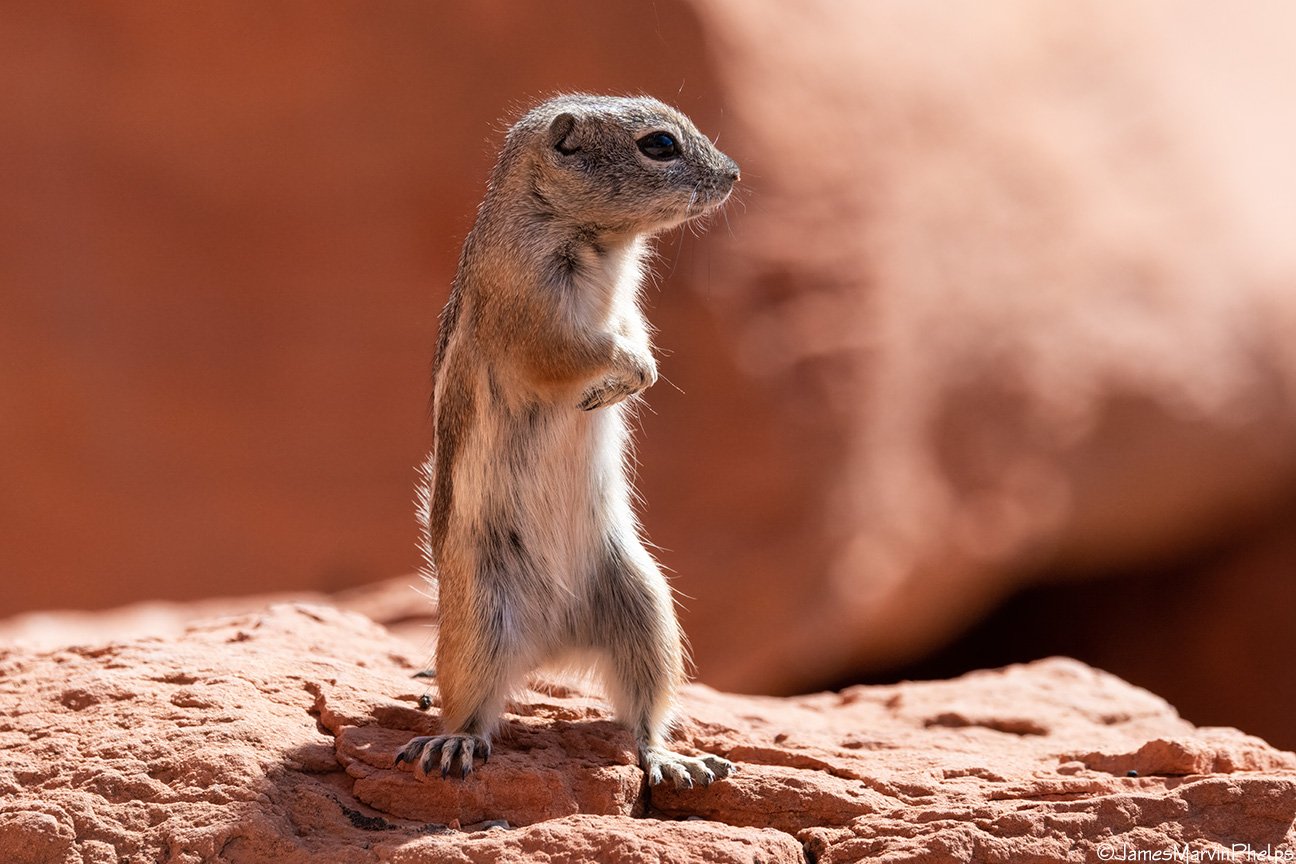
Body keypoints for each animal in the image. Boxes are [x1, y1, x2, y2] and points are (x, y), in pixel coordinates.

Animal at [394, 94, 740, 789]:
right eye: (659, 145)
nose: (734, 175)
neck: (601, 243)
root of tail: (548, 646)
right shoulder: (534, 316)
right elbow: (583, 351)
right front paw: (626, 376)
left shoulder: (627, 307)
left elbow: (636, 333)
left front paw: (634, 378)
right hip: (480, 617)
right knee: (471, 704)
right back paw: (453, 742)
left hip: (645, 605)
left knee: (644, 714)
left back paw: (671, 758)